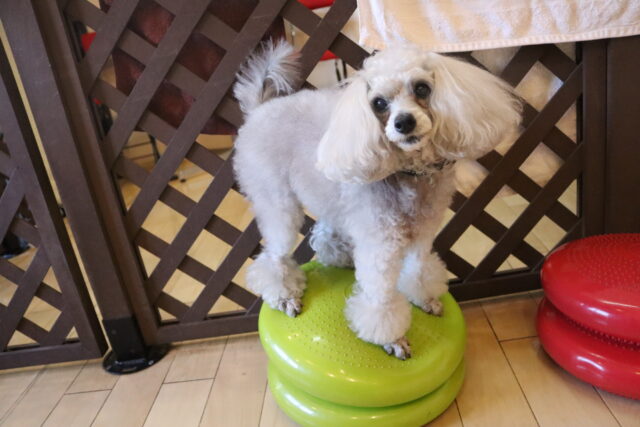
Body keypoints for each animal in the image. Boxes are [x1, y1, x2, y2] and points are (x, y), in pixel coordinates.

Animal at [233, 41, 521, 359]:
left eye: (422, 88)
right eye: (379, 104)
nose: (404, 122)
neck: (409, 173)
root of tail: (259, 109)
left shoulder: (424, 232)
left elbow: (419, 270)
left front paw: (426, 299)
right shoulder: (381, 243)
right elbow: (381, 300)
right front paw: (392, 339)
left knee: (323, 234)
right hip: (277, 202)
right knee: (274, 256)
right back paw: (285, 296)